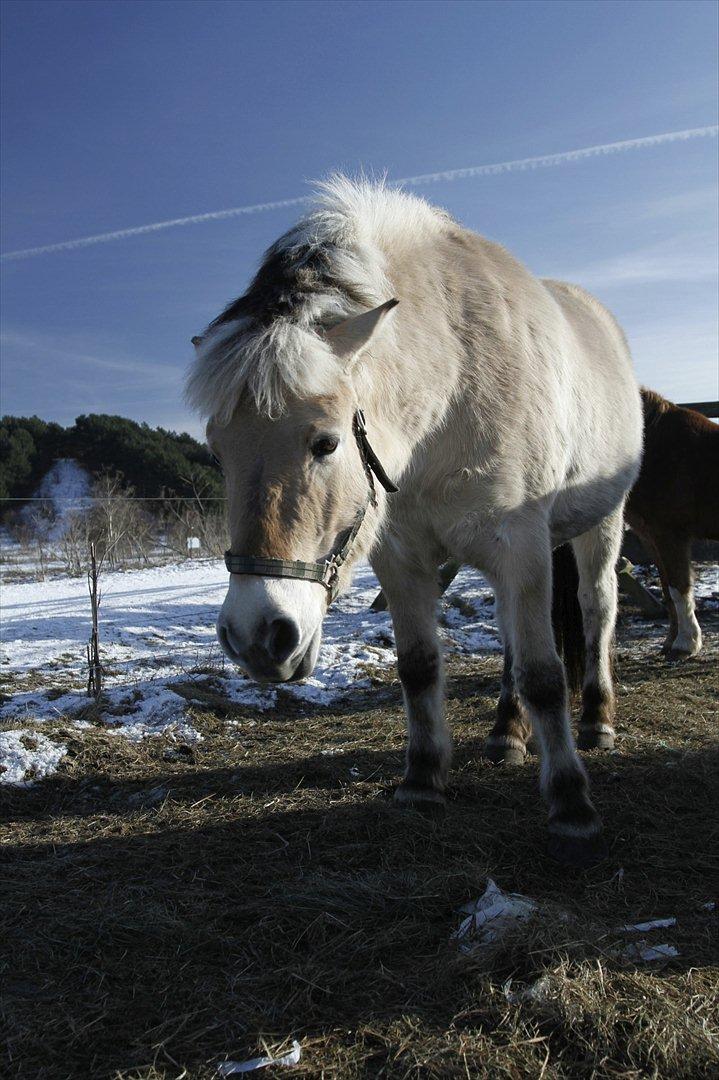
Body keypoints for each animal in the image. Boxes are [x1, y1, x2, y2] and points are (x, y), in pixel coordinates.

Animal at [187, 179, 639, 868]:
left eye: (325, 443)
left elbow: (543, 673)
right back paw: (506, 734)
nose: (258, 636)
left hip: (599, 527)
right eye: (218, 450)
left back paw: (597, 719)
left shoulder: (521, 544)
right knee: (512, 640)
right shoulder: (401, 556)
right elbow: (420, 665)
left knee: (596, 612)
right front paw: (424, 778)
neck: (452, 384)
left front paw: (570, 802)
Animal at [621, 388, 716, 656]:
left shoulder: (669, 535)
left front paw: (686, 643)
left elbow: (678, 587)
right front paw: (670, 642)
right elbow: (667, 588)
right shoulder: (650, 536)